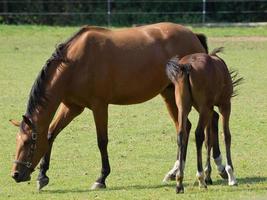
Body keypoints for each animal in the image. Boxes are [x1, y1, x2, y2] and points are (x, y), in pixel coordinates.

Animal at [11, 21, 220, 191]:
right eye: (18, 140)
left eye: (28, 142)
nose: (15, 174)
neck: (76, 62)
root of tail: (193, 35)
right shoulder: (72, 107)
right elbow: (50, 134)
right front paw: (42, 176)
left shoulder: (99, 106)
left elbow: (102, 141)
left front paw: (101, 178)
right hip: (170, 95)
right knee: (186, 127)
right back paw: (178, 171)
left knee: (208, 122)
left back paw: (213, 170)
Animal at [166, 47, 242, 193]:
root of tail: (187, 66)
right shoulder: (224, 105)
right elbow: (225, 136)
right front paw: (231, 175)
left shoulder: (208, 109)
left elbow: (209, 139)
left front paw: (209, 174)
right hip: (205, 107)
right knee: (198, 134)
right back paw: (200, 179)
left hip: (184, 107)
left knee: (182, 134)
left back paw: (179, 182)